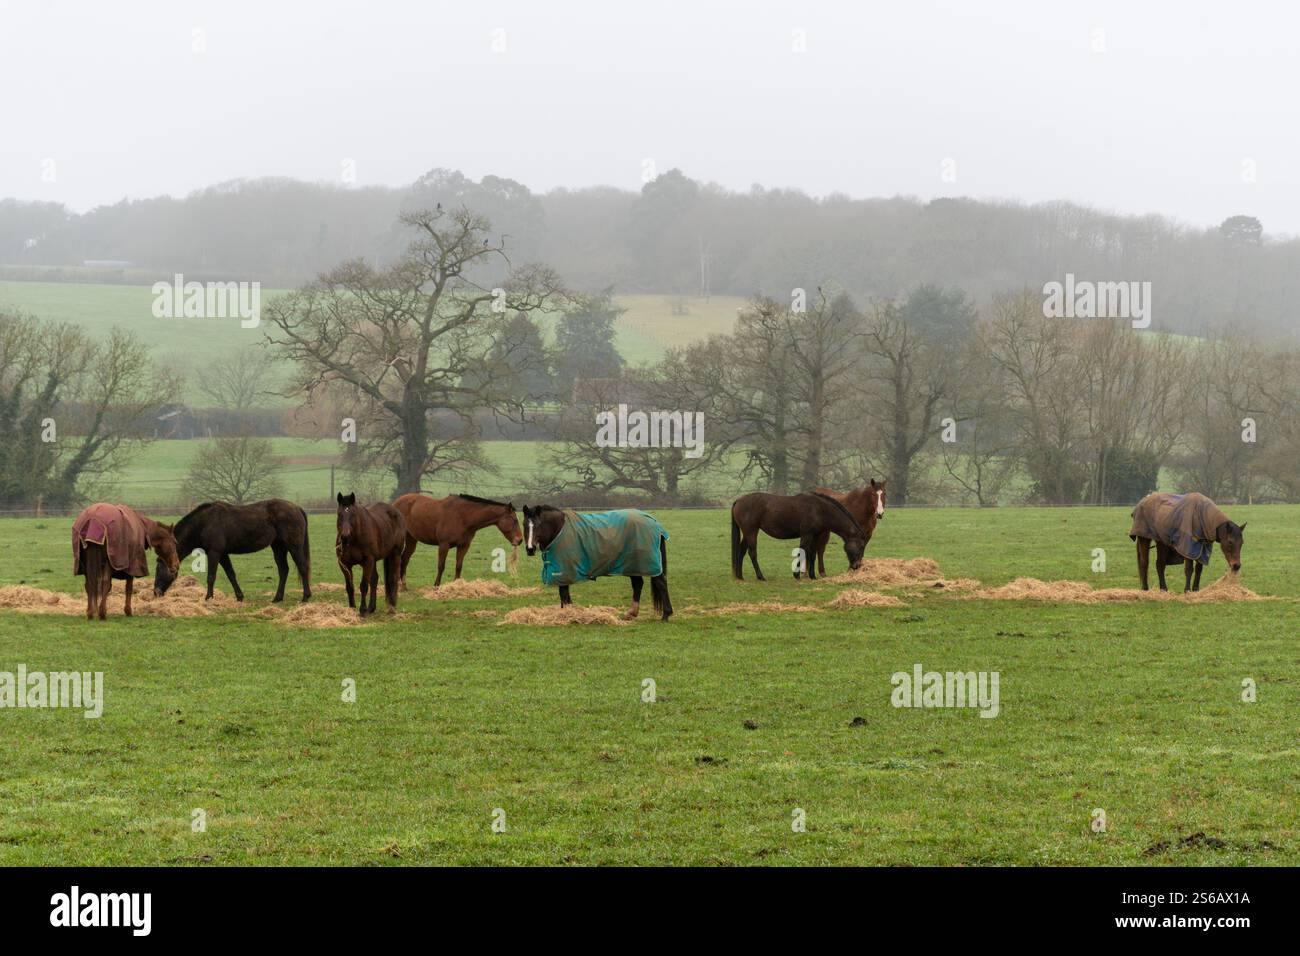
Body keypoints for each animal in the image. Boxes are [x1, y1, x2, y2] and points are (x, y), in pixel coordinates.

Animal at [167, 499, 311, 602]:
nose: (161, 593)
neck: (203, 523)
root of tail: (296, 507)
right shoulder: (223, 554)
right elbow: (231, 574)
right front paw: (239, 596)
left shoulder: (214, 552)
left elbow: (211, 576)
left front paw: (208, 598)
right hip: (278, 547)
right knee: (283, 570)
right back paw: (277, 598)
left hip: (294, 547)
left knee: (302, 567)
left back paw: (305, 597)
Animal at [393, 493, 523, 588]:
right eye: (514, 519)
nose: (520, 540)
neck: (463, 516)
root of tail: (395, 503)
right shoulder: (444, 545)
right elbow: (441, 566)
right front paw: (436, 586)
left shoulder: (463, 546)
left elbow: (459, 566)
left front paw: (456, 585)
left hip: (411, 539)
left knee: (405, 559)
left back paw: (403, 586)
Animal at [522, 505, 673, 621]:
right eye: (524, 525)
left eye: (538, 525)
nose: (530, 549)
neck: (559, 530)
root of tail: (654, 522)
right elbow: (564, 594)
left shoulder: (564, 571)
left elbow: (563, 593)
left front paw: (568, 614)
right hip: (632, 565)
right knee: (637, 584)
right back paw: (632, 613)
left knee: (660, 582)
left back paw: (666, 614)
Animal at [731, 491, 866, 581]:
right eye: (860, 546)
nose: (856, 566)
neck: (820, 510)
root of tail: (739, 500)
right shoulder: (807, 535)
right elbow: (803, 552)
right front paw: (796, 575)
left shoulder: (815, 535)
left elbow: (812, 554)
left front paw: (812, 576)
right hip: (751, 531)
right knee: (752, 553)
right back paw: (760, 576)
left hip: (747, 533)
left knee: (742, 551)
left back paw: (740, 576)